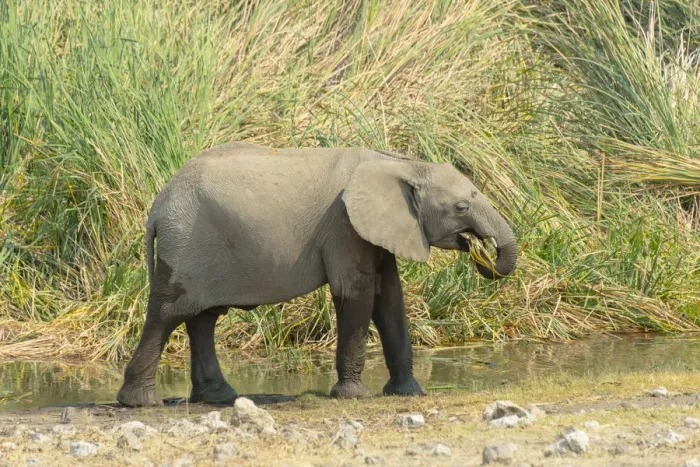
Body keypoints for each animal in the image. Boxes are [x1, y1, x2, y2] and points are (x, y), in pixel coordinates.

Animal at [116, 142, 517, 407]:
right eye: (461, 207)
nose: (482, 251)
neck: (401, 164)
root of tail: (157, 205)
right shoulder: (343, 225)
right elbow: (357, 293)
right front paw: (355, 397)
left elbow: (389, 299)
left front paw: (408, 393)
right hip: (187, 243)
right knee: (170, 313)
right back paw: (140, 403)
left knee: (203, 318)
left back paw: (218, 398)